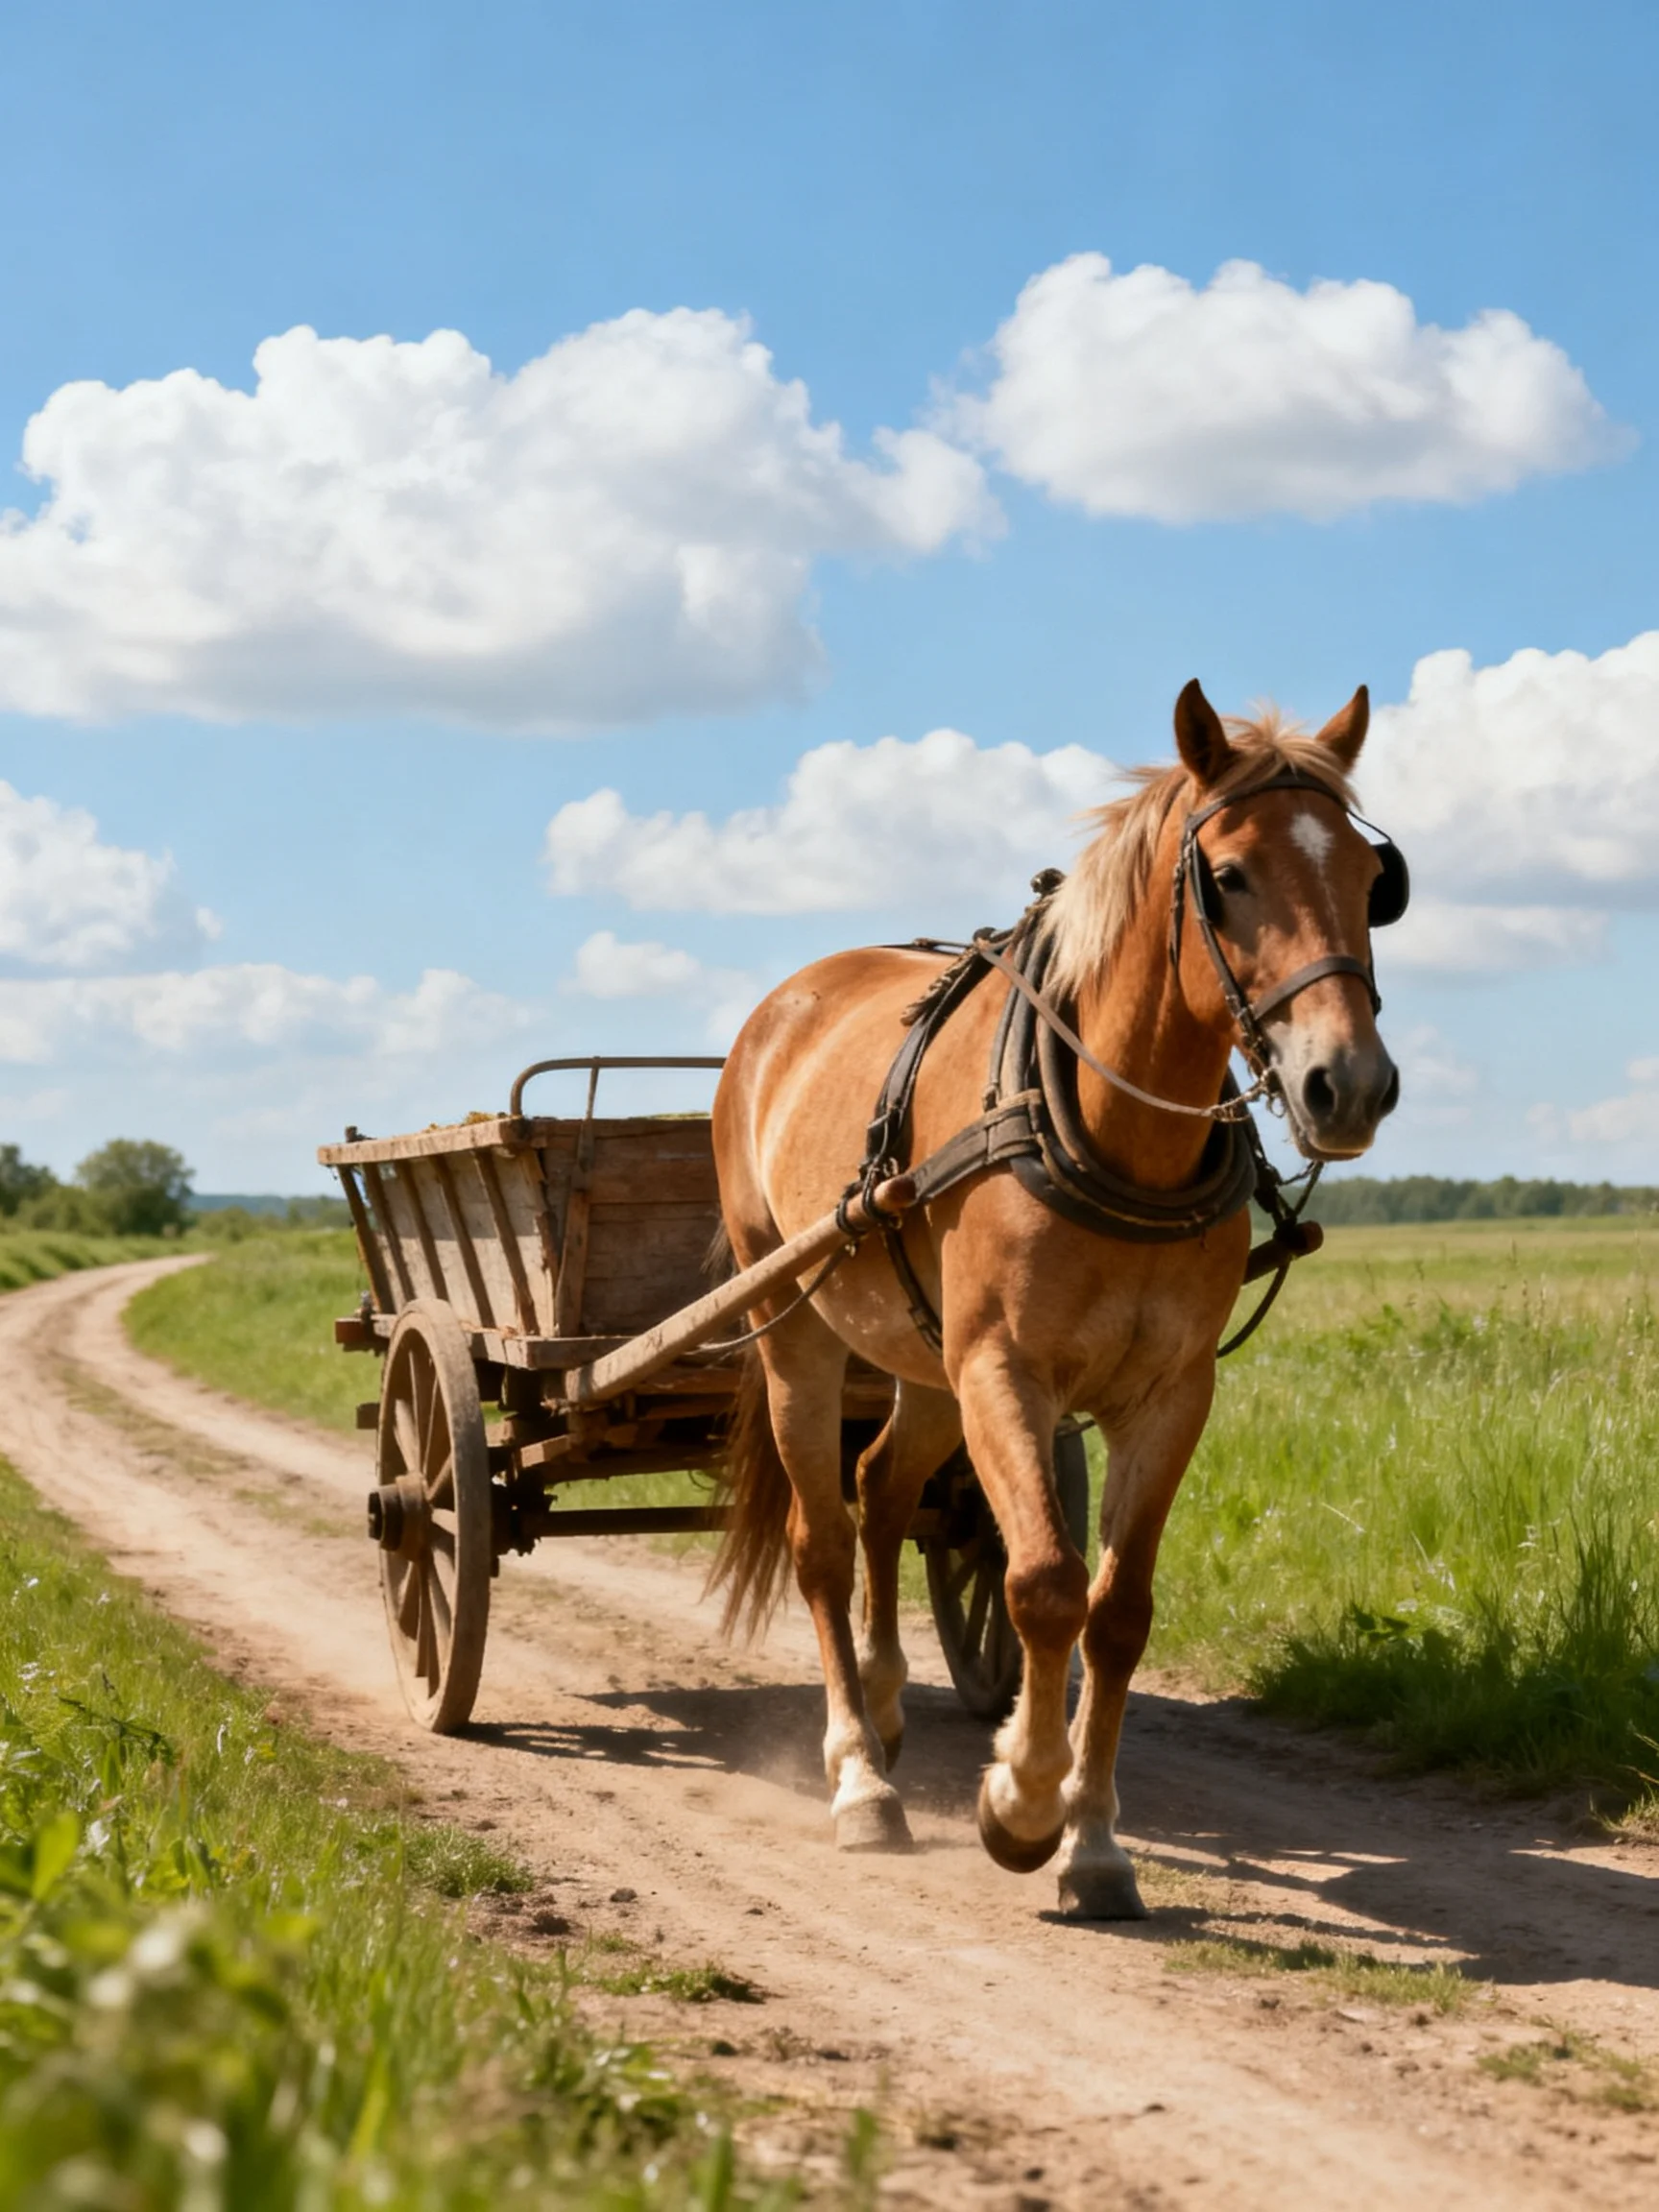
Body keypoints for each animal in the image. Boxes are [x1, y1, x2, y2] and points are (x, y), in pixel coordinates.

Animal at [709, 680, 1400, 1917]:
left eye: (1377, 882)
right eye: (1229, 876)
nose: (1349, 1084)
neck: (1119, 1136)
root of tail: (787, 1002)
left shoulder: (1170, 1394)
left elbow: (1117, 1613)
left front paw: (1096, 1842)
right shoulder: (1004, 1372)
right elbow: (1041, 1586)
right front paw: (1021, 1804)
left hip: (924, 1362)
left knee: (883, 1487)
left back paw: (884, 1702)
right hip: (798, 1331)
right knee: (823, 1537)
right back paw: (858, 1778)